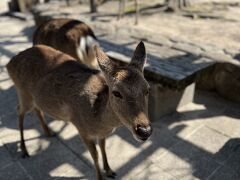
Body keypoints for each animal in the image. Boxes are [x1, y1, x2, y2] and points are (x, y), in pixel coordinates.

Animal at [7, 41, 152, 179]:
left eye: (147, 89)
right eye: (116, 92)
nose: (144, 130)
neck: (98, 120)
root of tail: (10, 63)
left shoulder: (102, 133)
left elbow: (103, 147)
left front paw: (110, 170)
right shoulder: (81, 127)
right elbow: (95, 154)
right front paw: (100, 177)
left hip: (34, 97)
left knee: (37, 109)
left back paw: (48, 133)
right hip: (23, 92)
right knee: (19, 110)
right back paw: (24, 150)